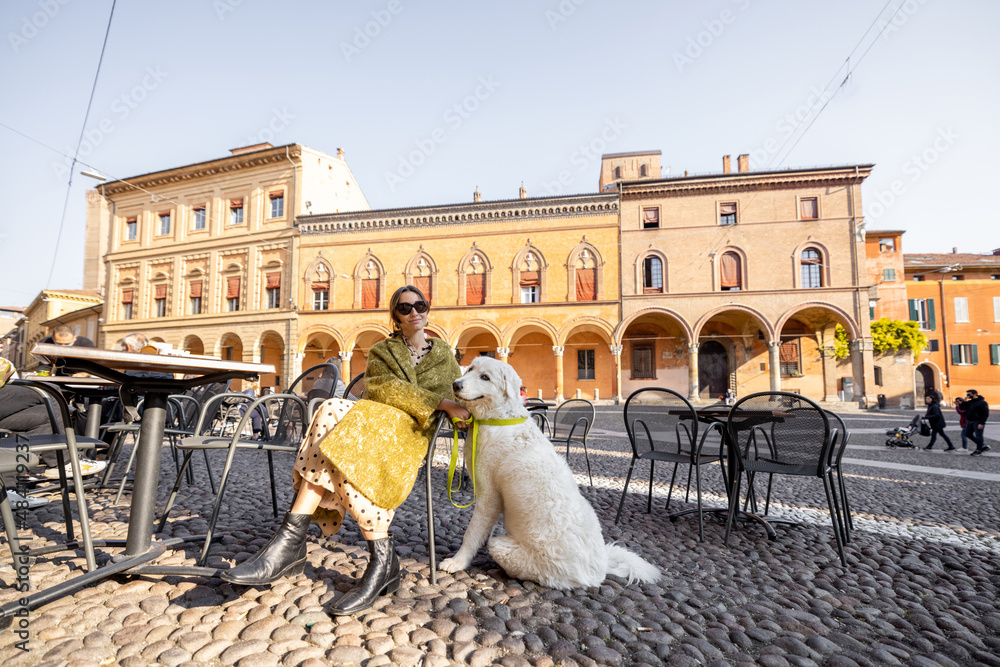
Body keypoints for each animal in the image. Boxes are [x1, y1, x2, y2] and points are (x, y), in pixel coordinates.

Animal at [442, 360, 660, 588]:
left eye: (485, 377)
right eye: (470, 369)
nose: (456, 384)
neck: (497, 419)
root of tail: (600, 569)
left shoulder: (489, 495)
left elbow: (472, 532)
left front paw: (457, 562)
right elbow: (484, 530)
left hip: (505, 549)